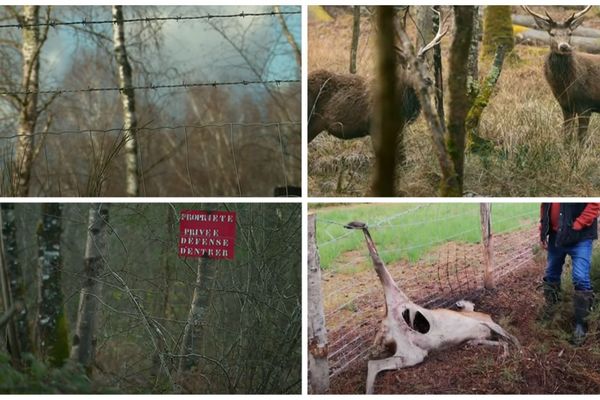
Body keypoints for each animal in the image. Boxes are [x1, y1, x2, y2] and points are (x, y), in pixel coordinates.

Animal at [344, 222, 524, 394]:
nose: (461, 304)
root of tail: (387, 325)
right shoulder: (489, 322)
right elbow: (510, 338)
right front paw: (520, 351)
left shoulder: (485, 331)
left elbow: (501, 341)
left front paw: (503, 351)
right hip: (399, 305)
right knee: (378, 261)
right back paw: (357, 224)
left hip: (411, 354)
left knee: (373, 364)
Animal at [524, 5, 596, 143]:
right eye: (552, 33)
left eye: (570, 33)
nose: (564, 46)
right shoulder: (565, 106)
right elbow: (566, 135)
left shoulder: (586, 104)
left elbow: (581, 139)